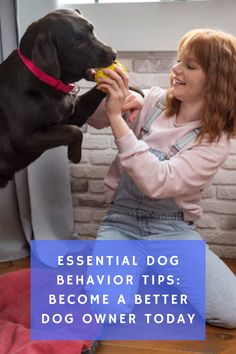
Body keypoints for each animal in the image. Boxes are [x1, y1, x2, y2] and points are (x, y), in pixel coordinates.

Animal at [0, 8, 116, 188]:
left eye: (92, 30)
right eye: (78, 43)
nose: (114, 54)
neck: (43, 79)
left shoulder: (73, 115)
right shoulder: (24, 139)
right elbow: (74, 131)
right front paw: (75, 154)